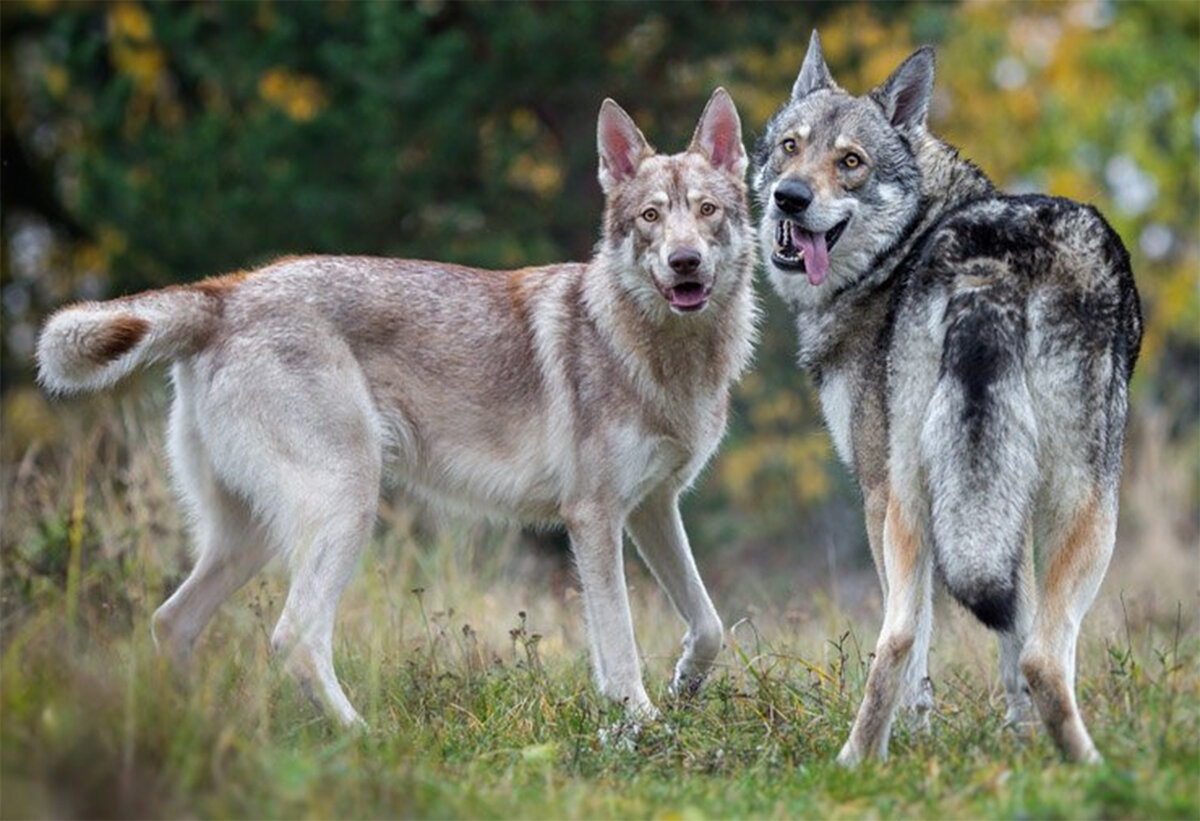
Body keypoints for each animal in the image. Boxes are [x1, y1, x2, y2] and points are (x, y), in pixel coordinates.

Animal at [39, 90, 758, 729]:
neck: (660, 351)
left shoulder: (654, 508)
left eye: (707, 211)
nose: (685, 262)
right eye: (650, 217)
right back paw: (364, 739)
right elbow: (619, 644)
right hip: (346, 505)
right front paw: (643, 726)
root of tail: (228, 292)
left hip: (253, 536)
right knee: (293, 638)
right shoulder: (594, 517)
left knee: (172, 621)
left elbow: (709, 623)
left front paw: (685, 686)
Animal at [758, 32, 1142, 763]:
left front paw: (1003, 734)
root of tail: (989, 261)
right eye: (790, 146)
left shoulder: (902, 492)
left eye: (850, 162)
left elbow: (1004, 632)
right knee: (1029, 653)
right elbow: (1018, 638)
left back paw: (859, 762)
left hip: (925, 497)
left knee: (905, 637)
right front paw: (1013, 736)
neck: (902, 248)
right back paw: (1089, 765)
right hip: (1081, 507)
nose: (788, 198)